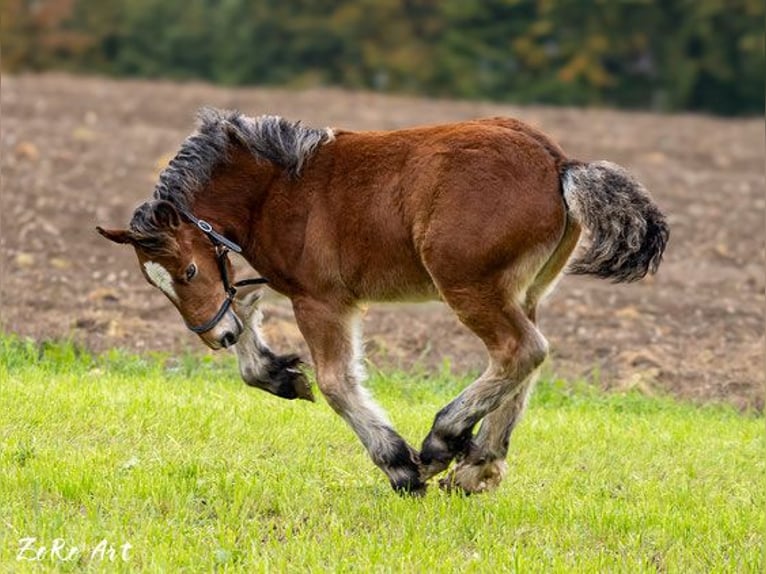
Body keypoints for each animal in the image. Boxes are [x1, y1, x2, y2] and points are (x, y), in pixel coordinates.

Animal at [99, 110, 668, 498]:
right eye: (155, 283)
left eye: (189, 272)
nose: (215, 339)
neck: (276, 187)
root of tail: (560, 163)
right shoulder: (286, 282)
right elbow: (245, 308)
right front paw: (279, 373)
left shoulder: (321, 300)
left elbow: (336, 382)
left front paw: (399, 465)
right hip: (523, 291)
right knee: (527, 364)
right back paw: (477, 467)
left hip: (469, 286)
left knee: (521, 351)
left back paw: (443, 443)